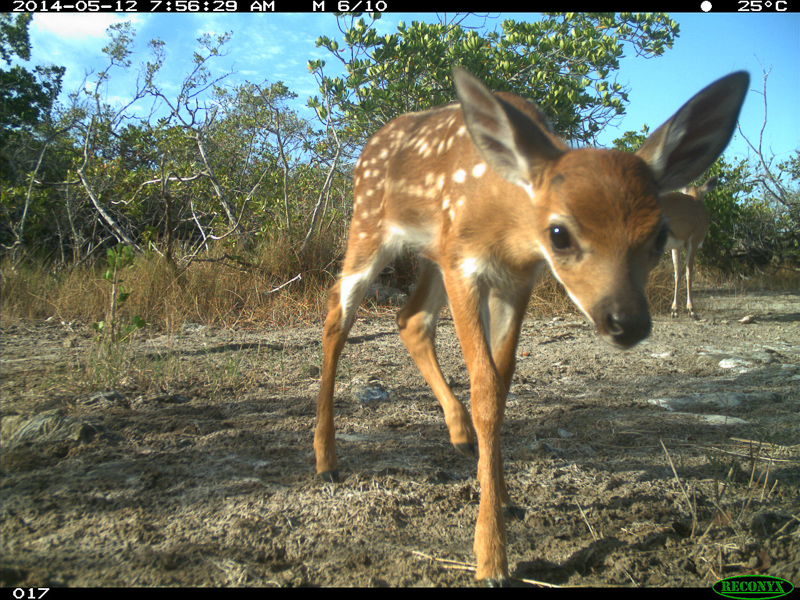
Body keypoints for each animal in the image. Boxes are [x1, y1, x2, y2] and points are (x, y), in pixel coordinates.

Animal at [664, 177, 720, 318]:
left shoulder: (676, 247)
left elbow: (677, 274)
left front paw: (674, 310)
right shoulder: (693, 242)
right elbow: (689, 273)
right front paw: (691, 309)